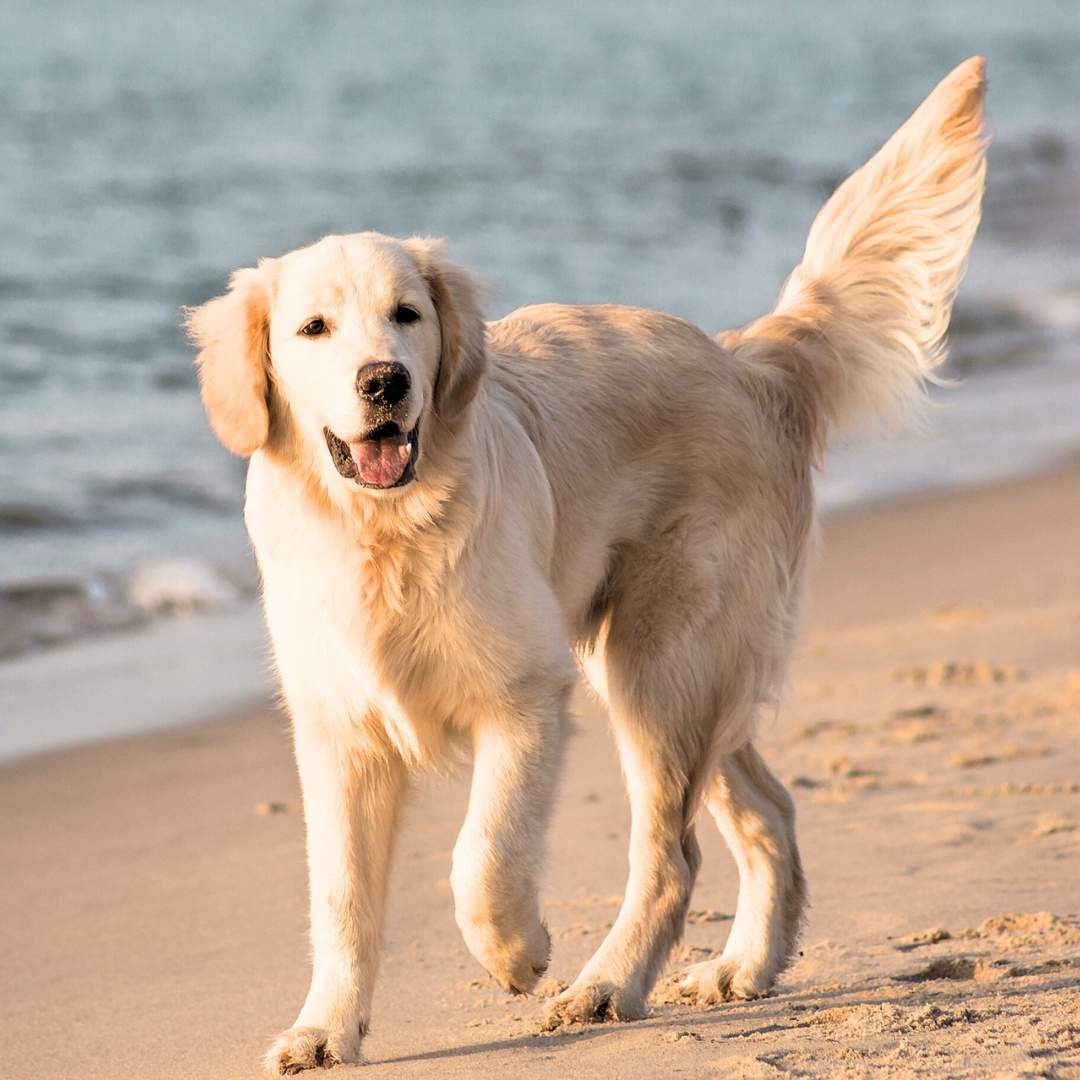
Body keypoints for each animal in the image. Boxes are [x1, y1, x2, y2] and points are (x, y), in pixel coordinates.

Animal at [187, 54, 989, 1067]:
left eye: (407, 315)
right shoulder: (339, 731)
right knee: (770, 812)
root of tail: (743, 359)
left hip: (654, 664)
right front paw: (327, 1030)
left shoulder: (527, 696)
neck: (386, 532)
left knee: (673, 854)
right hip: (686, 674)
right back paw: (742, 966)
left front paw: (516, 950)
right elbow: (339, 899)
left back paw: (606, 985)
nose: (385, 383)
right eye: (313, 329)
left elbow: (482, 854)